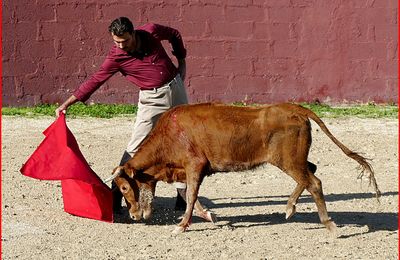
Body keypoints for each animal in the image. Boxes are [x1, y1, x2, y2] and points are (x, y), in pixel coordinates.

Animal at [109, 103, 382, 234]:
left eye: (124, 187)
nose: (133, 215)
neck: (170, 135)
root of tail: (296, 108)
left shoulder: (194, 165)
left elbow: (191, 195)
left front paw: (181, 226)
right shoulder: (186, 170)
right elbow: (189, 195)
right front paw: (208, 216)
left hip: (289, 161)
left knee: (314, 182)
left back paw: (329, 225)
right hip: (294, 160)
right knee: (311, 173)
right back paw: (289, 208)